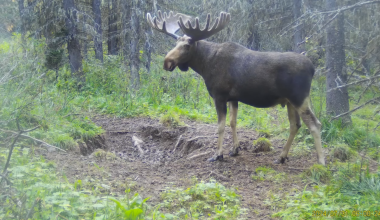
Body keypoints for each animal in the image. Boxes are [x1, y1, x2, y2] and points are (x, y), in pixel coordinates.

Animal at [147, 10, 326, 165]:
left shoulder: (219, 95)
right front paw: (235, 150)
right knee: (295, 125)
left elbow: (220, 126)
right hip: (289, 101)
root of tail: (312, 68)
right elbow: (233, 122)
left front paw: (218, 154)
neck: (205, 65)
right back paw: (282, 157)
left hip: (299, 97)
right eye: (176, 43)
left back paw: (321, 162)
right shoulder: (233, 98)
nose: (167, 62)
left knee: (315, 124)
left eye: (187, 46)